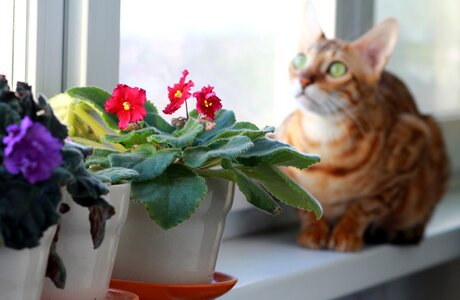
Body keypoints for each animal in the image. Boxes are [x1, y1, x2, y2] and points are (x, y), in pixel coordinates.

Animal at [274, 5, 448, 252]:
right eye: (299, 60)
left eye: (337, 69)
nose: (304, 79)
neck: (324, 141)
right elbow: (304, 203)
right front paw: (313, 229)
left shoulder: (412, 146)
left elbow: (365, 206)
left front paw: (347, 232)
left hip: (432, 136)